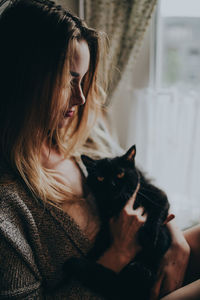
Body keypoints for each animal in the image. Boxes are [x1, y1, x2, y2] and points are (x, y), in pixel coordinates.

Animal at [63, 144, 171, 298]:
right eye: (100, 177)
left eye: (120, 174)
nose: (112, 185)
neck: (118, 203)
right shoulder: (106, 222)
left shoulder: (158, 195)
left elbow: (156, 215)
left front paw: (149, 236)